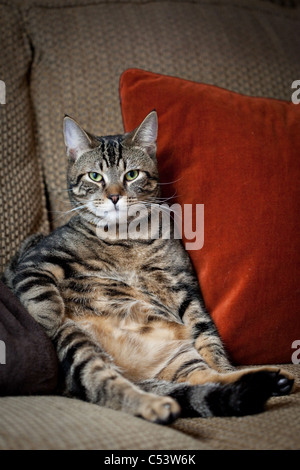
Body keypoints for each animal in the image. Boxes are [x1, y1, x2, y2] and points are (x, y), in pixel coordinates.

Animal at [4, 112, 296, 424]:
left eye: (132, 175)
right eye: (95, 176)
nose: (115, 196)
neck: (127, 237)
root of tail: (136, 373)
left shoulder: (181, 284)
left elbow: (208, 338)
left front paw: (226, 366)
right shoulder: (37, 258)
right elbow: (40, 295)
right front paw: (49, 322)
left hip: (179, 356)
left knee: (203, 376)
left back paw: (270, 379)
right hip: (79, 345)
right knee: (108, 387)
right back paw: (158, 405)